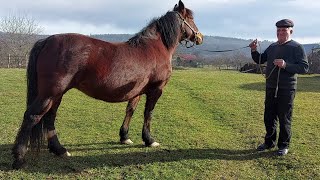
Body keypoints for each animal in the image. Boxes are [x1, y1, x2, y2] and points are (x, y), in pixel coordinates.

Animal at [12, 0, 204, 169]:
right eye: (191, 18)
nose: (200, 37)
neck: (154, 47)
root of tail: (46, 40)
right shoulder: (156, 89)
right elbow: (148, 113)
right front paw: (149, 140)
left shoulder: (136, 91)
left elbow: (130, 110)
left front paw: (124, 136)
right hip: (50, 93)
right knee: (32, 116)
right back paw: (19, 158)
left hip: (56, 95)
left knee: (49, 118)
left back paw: (59, 150)